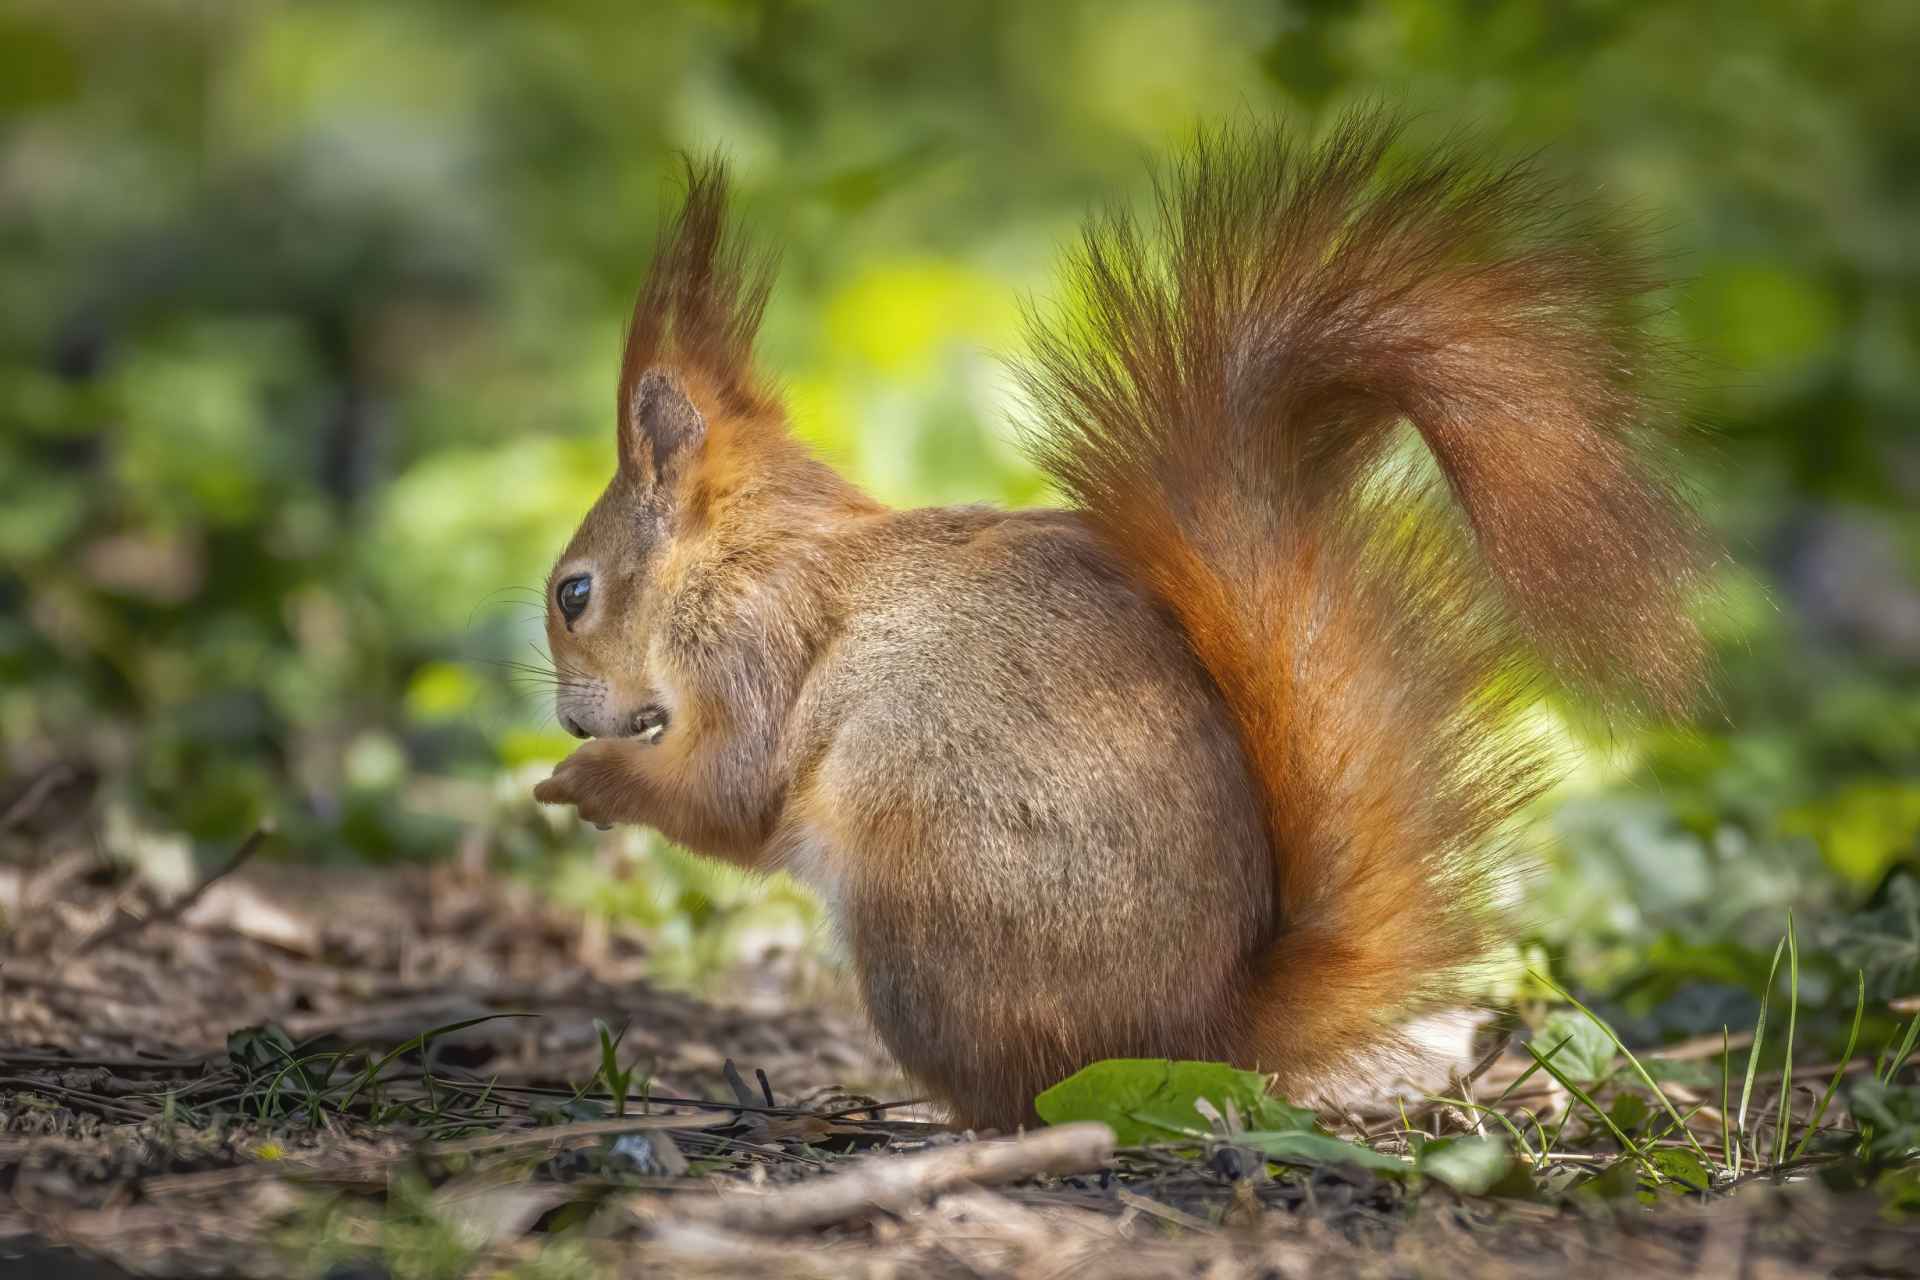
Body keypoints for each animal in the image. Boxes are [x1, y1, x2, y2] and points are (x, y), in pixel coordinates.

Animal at [533, 115, 1704, 1128]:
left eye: (572, 592)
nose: (569, 721)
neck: (742, 551)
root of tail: (1201, 1029)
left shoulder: (751, 642)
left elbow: (729, 792)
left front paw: (586, 785)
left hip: (926, 917)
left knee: (1023, 1097)